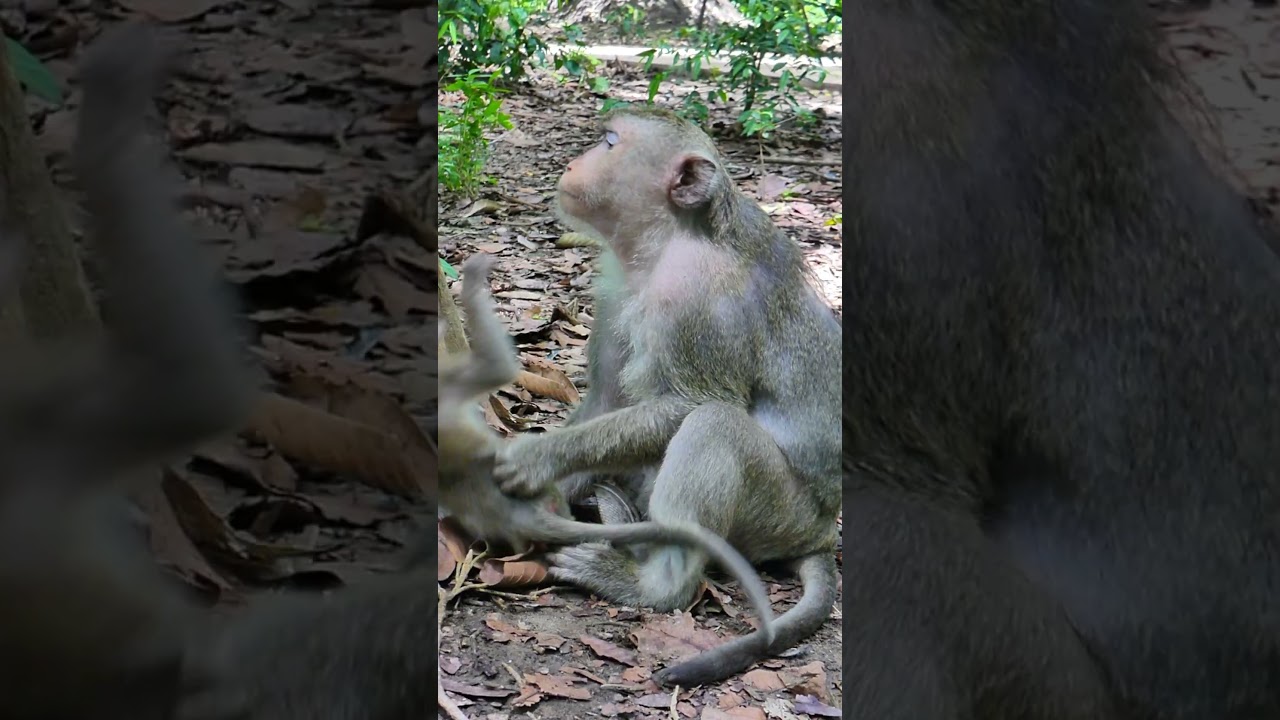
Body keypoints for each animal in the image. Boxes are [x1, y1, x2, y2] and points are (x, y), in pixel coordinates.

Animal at [490, 108, 842, 687]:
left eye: (610, 143)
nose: (574, 162)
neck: (667, 241)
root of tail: (819, 534)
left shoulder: (698, 299)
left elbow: (692, 404)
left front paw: (538, 457)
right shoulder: (614, 287)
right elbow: (607, 399)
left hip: (780, 513)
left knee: (714, 425)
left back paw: (652, 585)